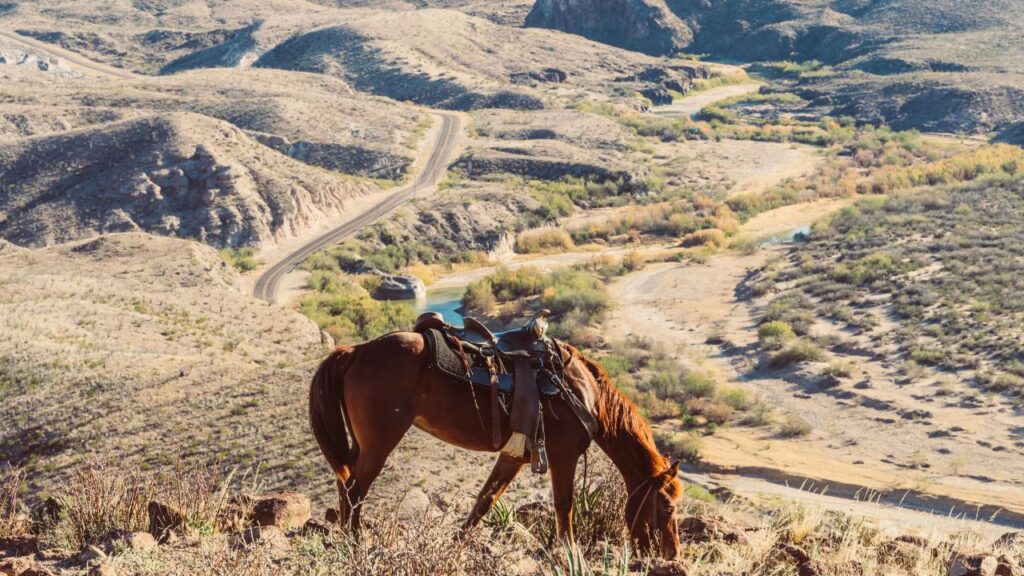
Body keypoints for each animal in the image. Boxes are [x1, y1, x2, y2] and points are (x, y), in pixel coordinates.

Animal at [308, 330, 684, 559]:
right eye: (667, 508)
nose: (673, 556)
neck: (582, 392)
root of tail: (356, 351)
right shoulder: (563, 456)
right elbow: (564, 505)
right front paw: (569, 553)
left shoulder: (513, 457)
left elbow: (484, 501)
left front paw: (455, 545)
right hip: (379, 445)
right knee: (355, 492)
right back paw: (355, 545)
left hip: (361, 445)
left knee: (344, 487)